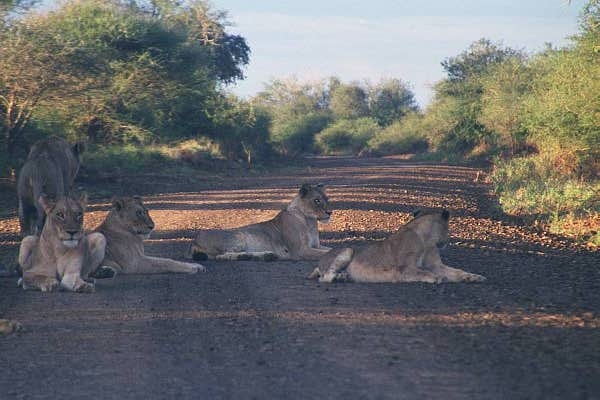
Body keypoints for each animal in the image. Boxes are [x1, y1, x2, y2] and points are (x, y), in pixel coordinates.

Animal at [188, 183, 332, 260]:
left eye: (327, 199)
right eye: (317, 200)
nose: (330, 212)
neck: (310, 222)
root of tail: (195, 239)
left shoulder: (316, 245)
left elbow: (331, 249)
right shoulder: (299, 250)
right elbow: (327, 253)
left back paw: (267, 256)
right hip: (238, 236)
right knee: (221, 255)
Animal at [308, 209, 486, 284]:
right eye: (448, 227)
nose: (446, 241)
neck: (427, 241)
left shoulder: (435, 264)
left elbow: (456, 271)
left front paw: (474, 277)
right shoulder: (405, 269)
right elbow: (423, 272)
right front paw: (437, 278)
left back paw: (343, 276)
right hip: (348, 250)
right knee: (325, 278)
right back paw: (340, 277)